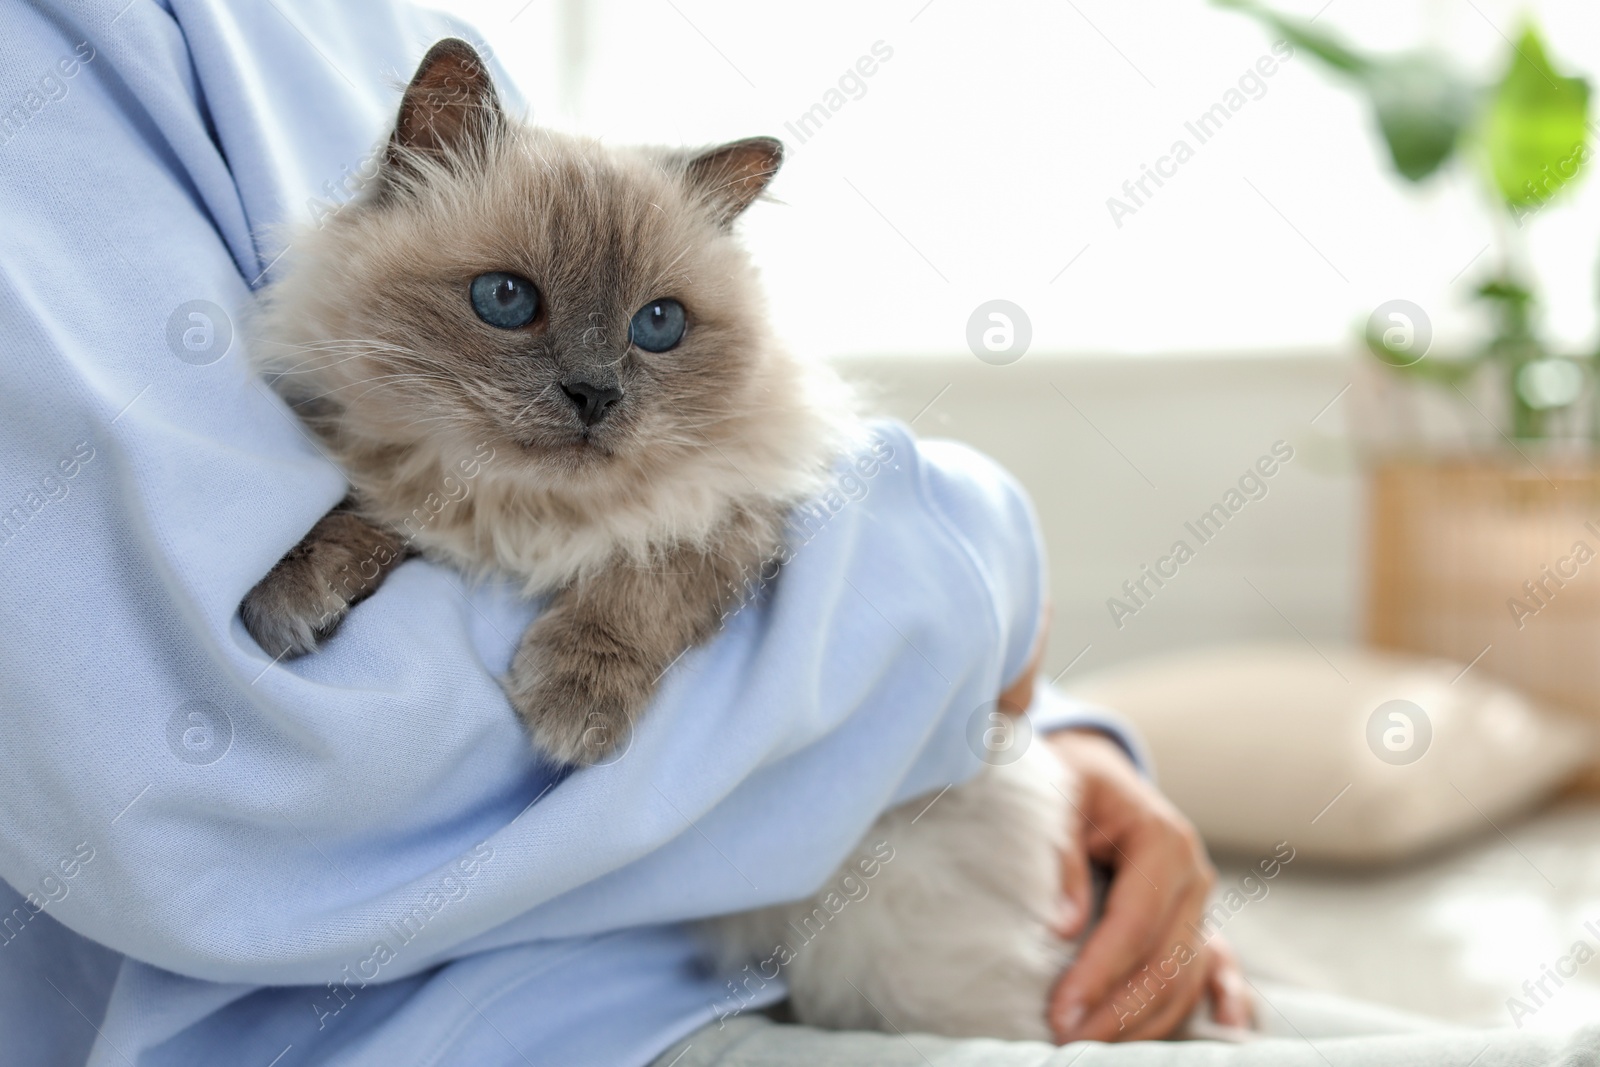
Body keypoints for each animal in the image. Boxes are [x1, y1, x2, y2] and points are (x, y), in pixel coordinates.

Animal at [243, 39, 1088, 1043]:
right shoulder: (422, 498)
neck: (532, 518)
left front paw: (574, 704)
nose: (595, 394)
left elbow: (645, 578)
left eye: (659, 325)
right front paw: (292, 594)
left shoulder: (739, 511)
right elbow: (367, 522)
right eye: (505, 300)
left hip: (897, 956)